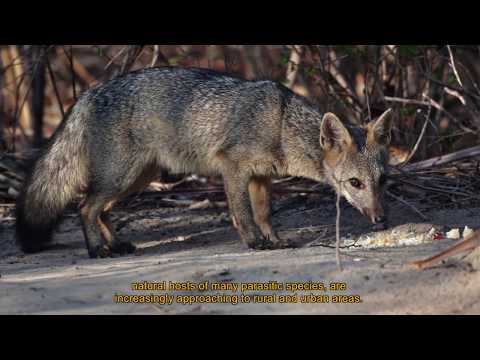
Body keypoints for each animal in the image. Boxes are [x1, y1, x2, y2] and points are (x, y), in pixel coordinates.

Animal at [16, 67, 394, 258]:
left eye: (383, 181)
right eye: (355, 183)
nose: (381, 219)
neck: (281, 124)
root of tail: (89, 92)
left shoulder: (261, 177)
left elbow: (264, 214)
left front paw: (274, 240)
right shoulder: (233, 167)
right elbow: (242, 213)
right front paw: (254, 242)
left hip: (137, 178)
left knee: (101, 210)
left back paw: (116, 244)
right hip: (121, 177)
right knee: (84, 206)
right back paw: (97, 249)